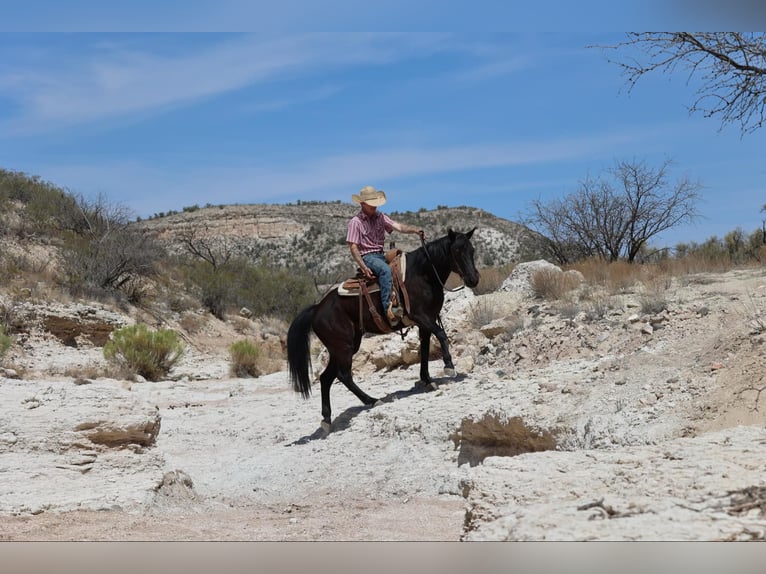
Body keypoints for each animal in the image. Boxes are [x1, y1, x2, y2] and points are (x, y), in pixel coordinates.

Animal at [287, 228, 480, 432]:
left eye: (472, 250)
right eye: (456, 251)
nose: (473, 279)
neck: (423, 273)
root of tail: (317, 309)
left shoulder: (426, 322)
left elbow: (425, 350)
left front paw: (427, 380)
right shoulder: (421, 317)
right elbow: (442, 335)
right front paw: (449, 366)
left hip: (342, 347)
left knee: (326, 378)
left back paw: (327, 419)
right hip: (343, 347)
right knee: (343, 375)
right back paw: (372, 400)